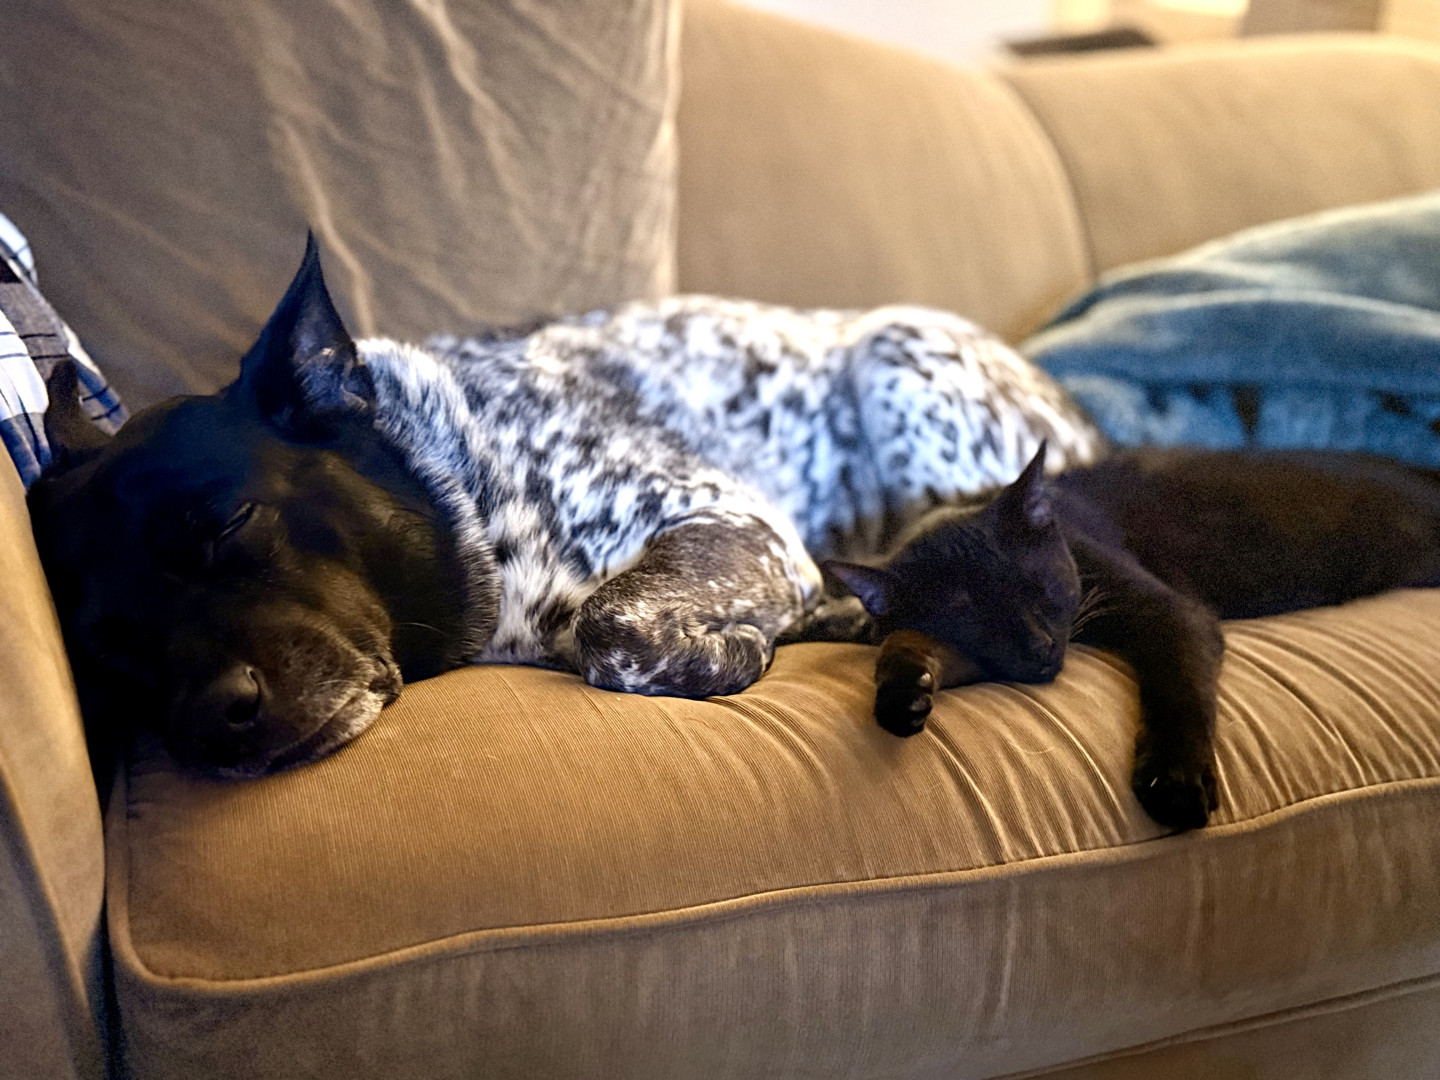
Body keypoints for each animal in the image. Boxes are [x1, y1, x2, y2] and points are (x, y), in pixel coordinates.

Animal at [28, 236, 1103, 777]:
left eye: (226, 524)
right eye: (106, 653)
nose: (213, 718)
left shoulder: (727, 519)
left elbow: (610, 623)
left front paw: (753, 644)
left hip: (895, 364)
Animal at [820, 442, 1440, 830]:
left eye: (1036, 586)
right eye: (973, 619)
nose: (1039, 646)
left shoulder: (1168, 612)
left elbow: (1178, 688)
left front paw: (1176, 780)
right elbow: (908, 644)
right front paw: (902, 694)